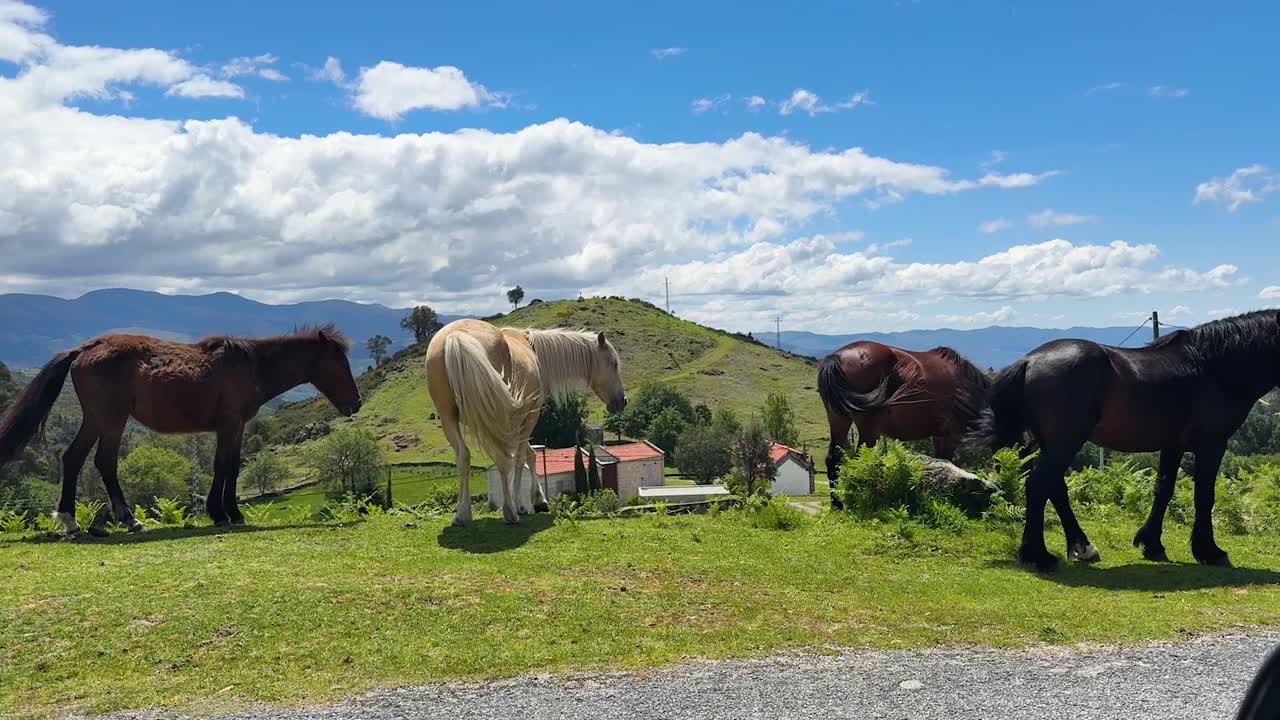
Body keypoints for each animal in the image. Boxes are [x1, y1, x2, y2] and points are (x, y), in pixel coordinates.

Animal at [0, 324, 361, 535]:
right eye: (339, 364)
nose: (356, 404)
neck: (252, 365)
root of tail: (86, 348)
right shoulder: (228, 423)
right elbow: (222, 466)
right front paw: (220, 513)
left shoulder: (237, 426)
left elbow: (233, 466)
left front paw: (232, 512)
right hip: (111, 419)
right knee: (104, 462)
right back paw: (127, 519)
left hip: (96, 419)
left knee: (74, 458)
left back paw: (72, 521)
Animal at [425, 319, 627, 526]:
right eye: (613, 363)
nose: (622, 401)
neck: (535, 351)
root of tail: (456, 336)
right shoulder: (530, 418)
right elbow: (522, 458)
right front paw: (526, 503)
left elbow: (529, 454)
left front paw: (537, 499)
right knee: (502, 459)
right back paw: (510, 511)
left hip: (449, 418)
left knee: (464, 456)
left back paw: (462, 514)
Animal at [817, 341, 991, 509]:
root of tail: (837, 357)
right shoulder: (951, 435)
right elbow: (947, 464)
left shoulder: (939, 436)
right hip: (869, 430)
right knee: (861, 462)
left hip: (839, 420)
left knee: (833, 459)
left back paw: (838, 505)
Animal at [967, 309, 1280, 571]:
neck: (1212, 367)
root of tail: (1028, 361)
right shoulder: (1212, 444)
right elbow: (1204, 496)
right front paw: (1210, 551)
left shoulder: (1173, 445)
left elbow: (1163, 490)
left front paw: (1152, 545)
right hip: (1065, 441)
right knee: (1039, 485)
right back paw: (1039, 556)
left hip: (1051, 442)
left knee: (1054, 487)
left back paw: (1083, 547)